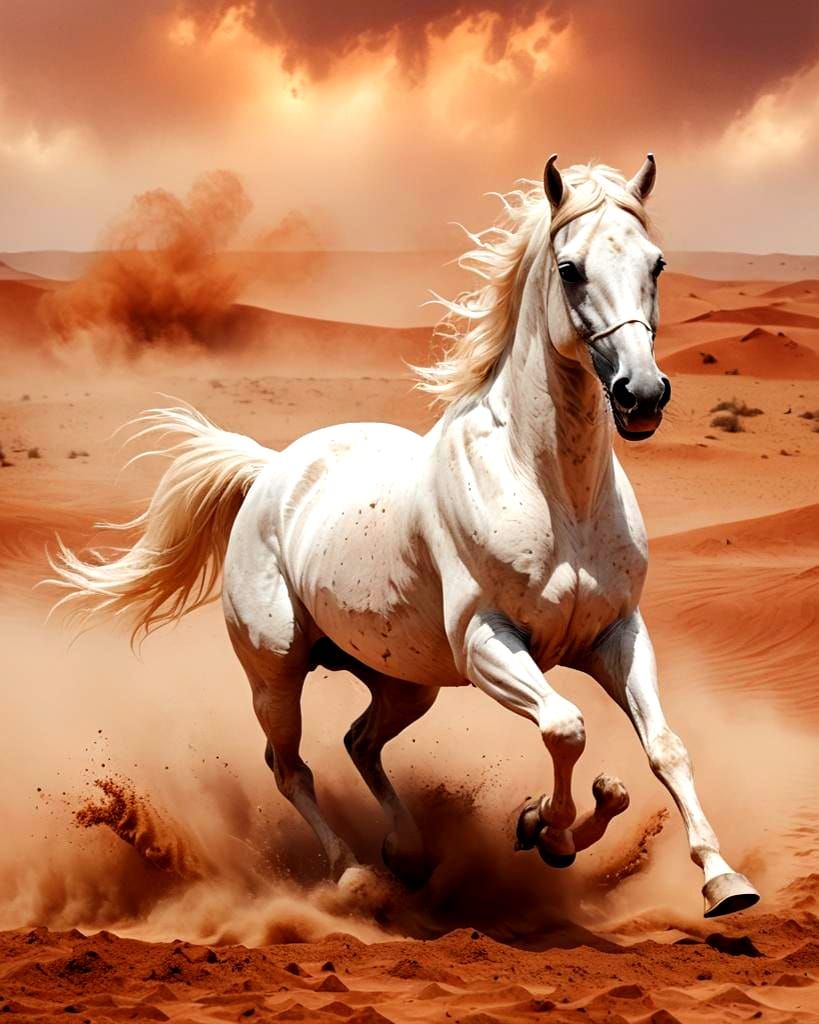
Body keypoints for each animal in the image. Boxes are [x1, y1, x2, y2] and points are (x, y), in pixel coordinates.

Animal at [49, 154, 760, 919]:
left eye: (657, 263)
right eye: (570, 269)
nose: (642, 394)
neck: (553, 491)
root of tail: (270, 470)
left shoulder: (617, 635)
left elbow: (664, 748)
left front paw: (720, 878)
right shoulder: (486, 642)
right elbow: (564, 727)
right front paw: (547, 828)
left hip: (403, 681)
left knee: (359, 743)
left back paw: (409, 854)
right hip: (276, 672)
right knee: (289, 766)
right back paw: (354, 874)